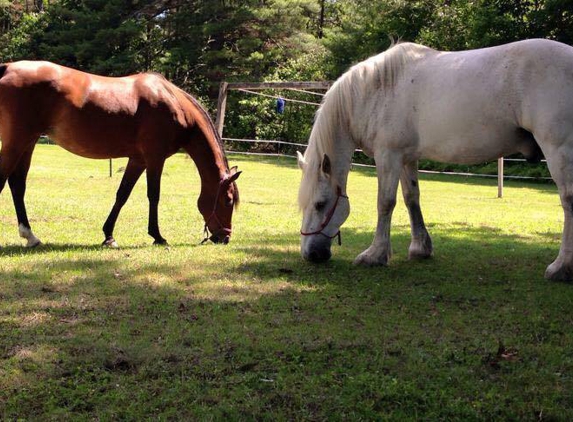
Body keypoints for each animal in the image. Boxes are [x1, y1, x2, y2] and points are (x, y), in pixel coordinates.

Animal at [0, 61, 240, 249]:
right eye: (228, 200)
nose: (225, 237)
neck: (173, 102)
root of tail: (7, 68)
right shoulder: (155, 158)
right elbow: (154, 195)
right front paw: (157, 236)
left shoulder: (138, 159)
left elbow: (122, 194)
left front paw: (109, 236)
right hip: (16, 142)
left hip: (28, 142)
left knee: (17, 185)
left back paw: (31, 236)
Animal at [298, 39, 572, 282]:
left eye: (320, 204)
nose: (310, 254)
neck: (376, 90)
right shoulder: (406, 158)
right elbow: (411, 198)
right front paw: (421, 248)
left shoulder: (388, 155)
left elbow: (385, 203)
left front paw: (375, 255)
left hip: (559, 150)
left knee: (568, 199)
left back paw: (561, 267)